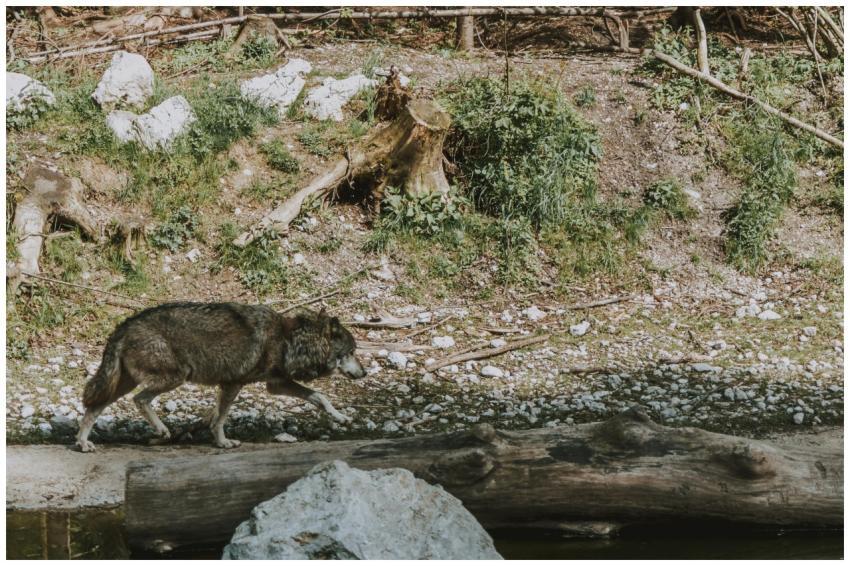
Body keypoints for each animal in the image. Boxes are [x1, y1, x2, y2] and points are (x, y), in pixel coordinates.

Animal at [75, 302, 365, 452]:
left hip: (123, 383)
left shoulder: (276, 384)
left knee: (93, 407)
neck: (289, 340)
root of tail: (124, 325)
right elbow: (221, 418)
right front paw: (223, 442)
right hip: (175, 376)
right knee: (140, 400)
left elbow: (320, 397)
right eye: (351, 352)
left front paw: (341, 417)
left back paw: (83, 443)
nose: (363, 373)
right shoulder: (232, 384)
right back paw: (161, 430)